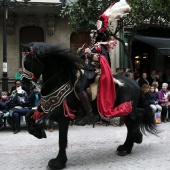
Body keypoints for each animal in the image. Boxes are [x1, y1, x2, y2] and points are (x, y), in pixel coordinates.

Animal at [21, 41, 157, 170]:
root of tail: (136, 84)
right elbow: (28, 115)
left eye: (28, 62)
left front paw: (58, 162)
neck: (59, 81)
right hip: (123, 110)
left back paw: (137, 137)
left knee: (138, 115)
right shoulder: (46, 109)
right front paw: (37, 132)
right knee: (131, 123)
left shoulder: (62, 117)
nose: (24, 86)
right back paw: (126, 147)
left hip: (126, 108)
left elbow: (61, 140)